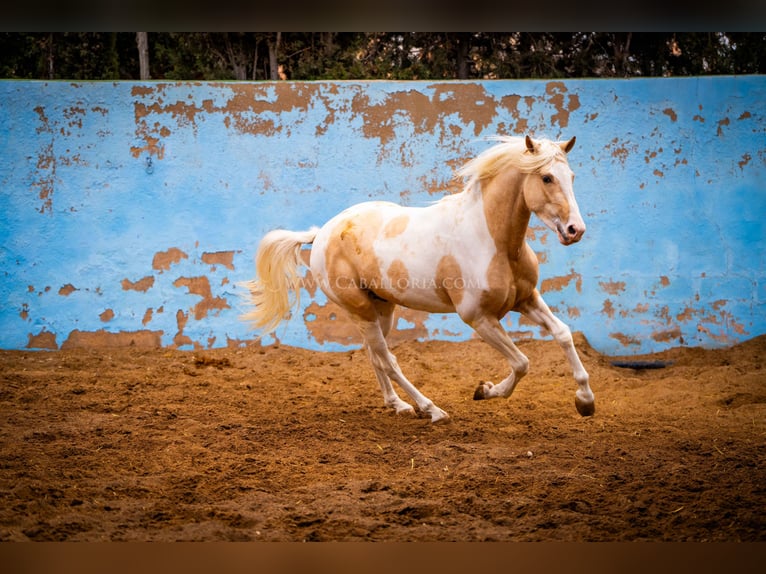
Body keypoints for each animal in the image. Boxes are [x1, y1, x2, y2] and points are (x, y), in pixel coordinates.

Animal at [243, 135, 596, 424]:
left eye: (571, 177)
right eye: (547, 177)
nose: (575, 230)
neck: (492, 240)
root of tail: (321, 234)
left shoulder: (526, 299)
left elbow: (563, 334)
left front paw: (585, 401)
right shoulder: (479, 318)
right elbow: (522, 362)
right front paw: (484, 390)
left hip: (381, 309)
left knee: (375, 355)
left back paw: (398, 405)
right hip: (360, 310)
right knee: (388, 359)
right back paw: (431, 409)